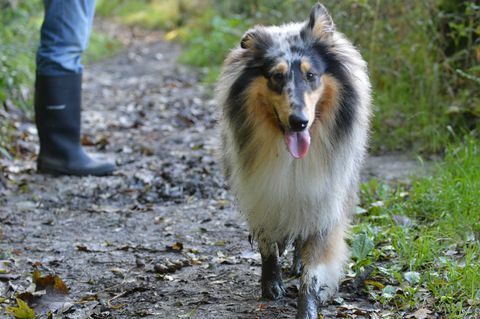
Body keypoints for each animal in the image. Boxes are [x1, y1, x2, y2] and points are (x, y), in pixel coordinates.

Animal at [217, 1, 372, 318]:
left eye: (311, 75)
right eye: (276, 76)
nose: (298, 122)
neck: (292, 158)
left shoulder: (325, 199)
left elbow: (314, 268)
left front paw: (307, 306)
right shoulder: (260, 191)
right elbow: (267, 242)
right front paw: (271, 284)